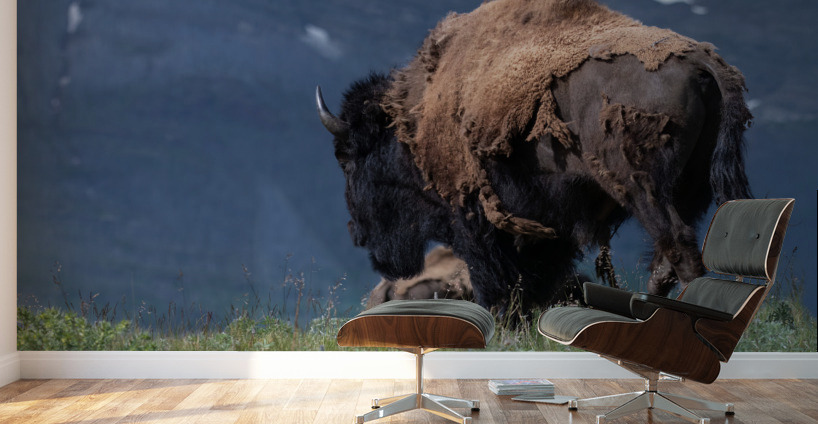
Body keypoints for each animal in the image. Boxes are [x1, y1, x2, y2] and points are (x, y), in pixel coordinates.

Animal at [316, 0, 751, 312]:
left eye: (347, 159)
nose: (357, 233)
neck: (417, 115)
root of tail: (702, 60)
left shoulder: (476, 219)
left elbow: (496, 277)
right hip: (690, 187)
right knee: (673, 254)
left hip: (642, 187)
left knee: (677, 244)